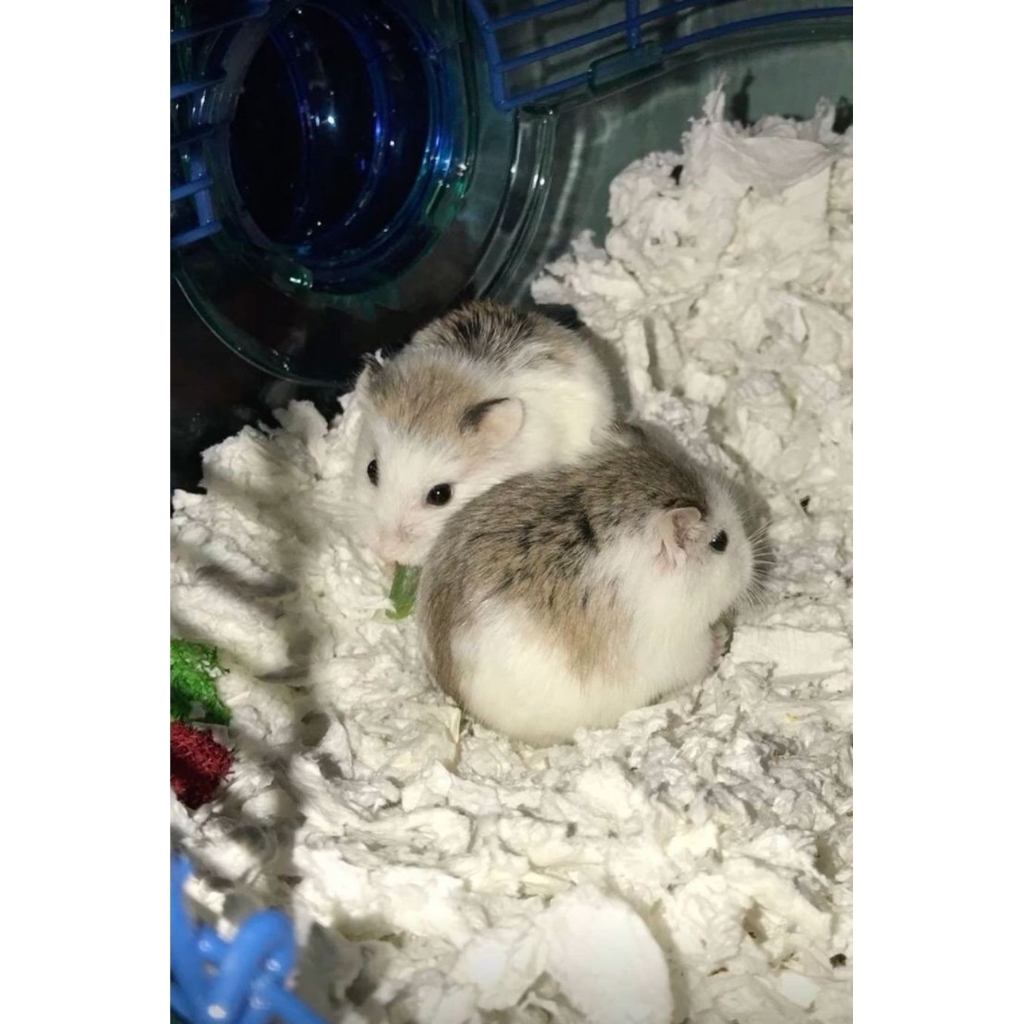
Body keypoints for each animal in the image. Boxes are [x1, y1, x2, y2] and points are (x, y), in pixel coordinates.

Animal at [417, 425, 763, 745]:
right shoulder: (681, 646)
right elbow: (703, 653)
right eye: (720, 542)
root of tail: (453, 691)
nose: (753, 564)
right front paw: (722, 636)